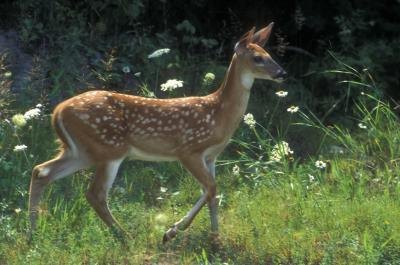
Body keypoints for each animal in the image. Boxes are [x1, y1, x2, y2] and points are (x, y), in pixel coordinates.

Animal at [28, 23, 284, 243]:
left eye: (269, 53)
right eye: (257, 58)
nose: (282, 72)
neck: (218, 113)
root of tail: (57, 111)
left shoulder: (211, 156)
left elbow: (212, 193)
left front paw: (215, 237)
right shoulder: (188, 149)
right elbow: (211, 188)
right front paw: (172, 232)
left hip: (81, 151)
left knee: (41, 171)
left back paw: (32, 232)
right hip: (109, 148)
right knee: (95, 194)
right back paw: (125, 236)